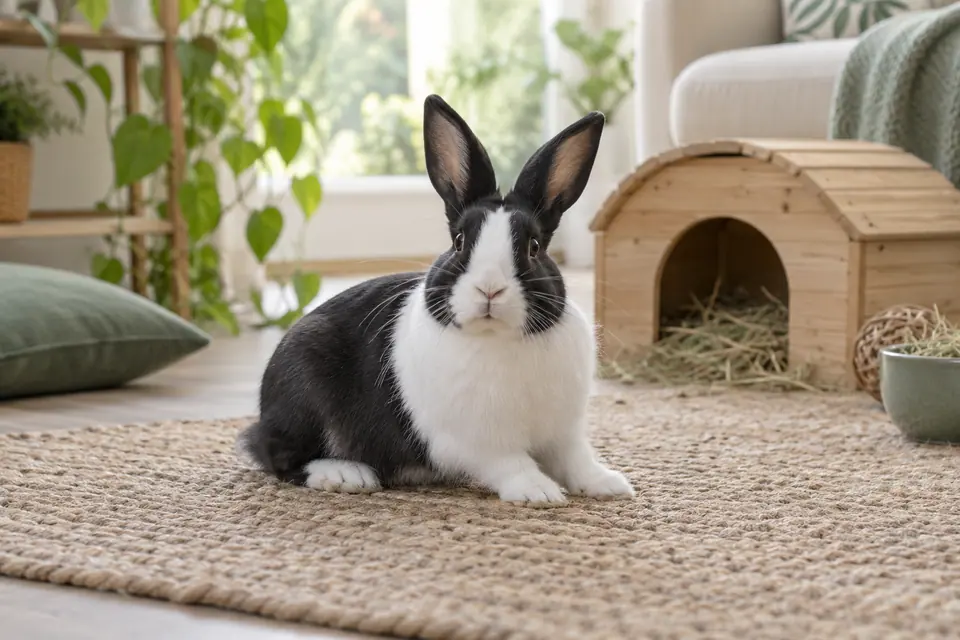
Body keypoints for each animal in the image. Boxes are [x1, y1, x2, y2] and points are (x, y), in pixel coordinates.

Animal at [237, 94, 635, 505]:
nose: (489, 289)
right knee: (273, 453)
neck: (497, 339)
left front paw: (610, 485)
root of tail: (265, 408)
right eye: (459, 242)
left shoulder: (563, 432)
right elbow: (511, 464)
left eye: (534, 247)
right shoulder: (480, 441)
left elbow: (576, 461)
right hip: (303, 395)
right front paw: (538, 492)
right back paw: (345, 474)